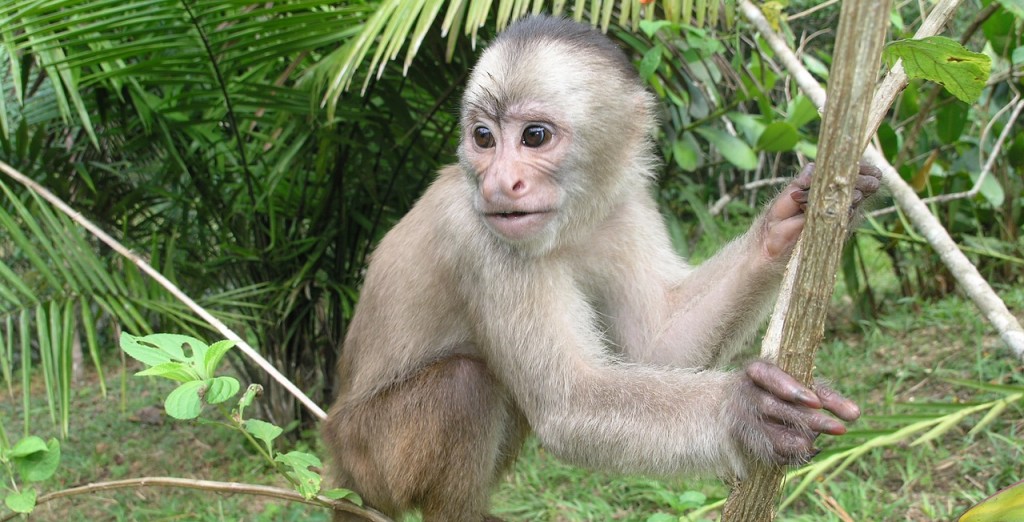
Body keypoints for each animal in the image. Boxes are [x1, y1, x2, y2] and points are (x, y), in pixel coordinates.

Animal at [322, 15, 880, 522]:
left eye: (534, 136)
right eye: (483, 138)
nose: (500, 181)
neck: (570, 221)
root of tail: (336, 463)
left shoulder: (626, 206)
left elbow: (660, 346)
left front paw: (786, 221)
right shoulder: (480, 237)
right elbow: (570, 405)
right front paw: (743, 411)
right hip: (370, 458)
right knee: (468, 379)